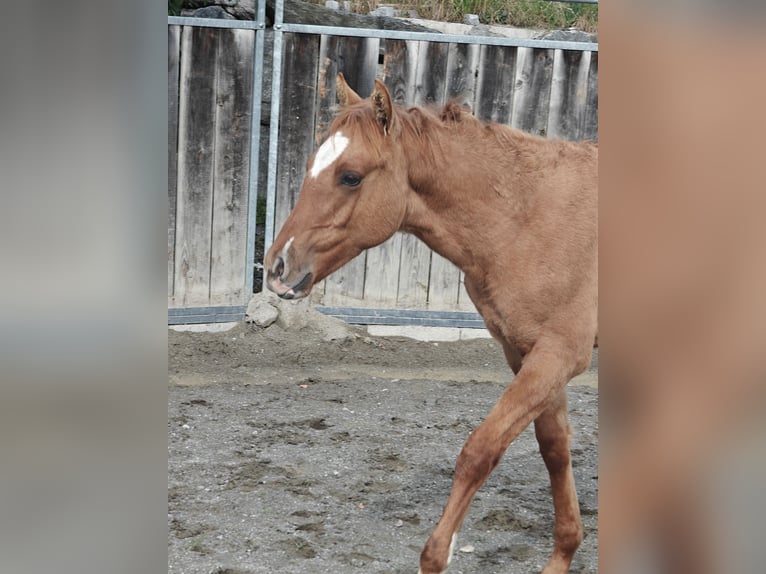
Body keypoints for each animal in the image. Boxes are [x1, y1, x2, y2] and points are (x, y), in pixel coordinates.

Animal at [265, 73, 598, 574]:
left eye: (350, 176)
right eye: (310, 166)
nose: (278, 267)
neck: (527, 218)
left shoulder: (560, 354)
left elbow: (480, 450)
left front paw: (435, 557)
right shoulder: (526, 352)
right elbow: (554, 448)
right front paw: (563, 554)